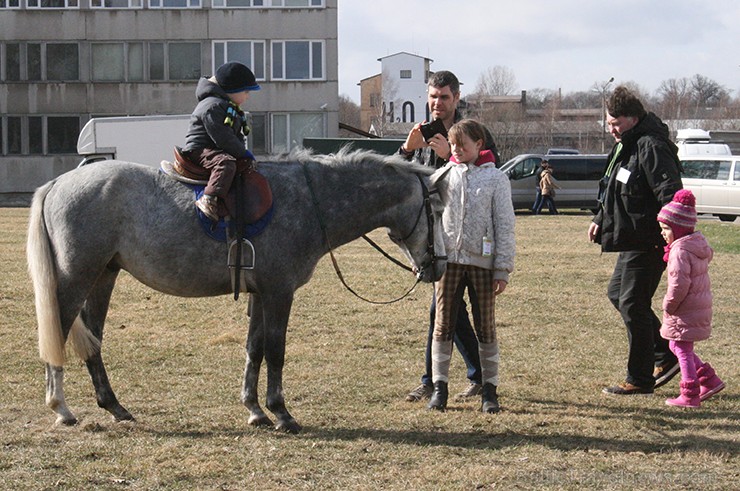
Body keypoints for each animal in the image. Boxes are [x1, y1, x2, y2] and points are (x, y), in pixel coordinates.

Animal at [27, 148, 446, 432]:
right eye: (438, 212)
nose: (439, 266)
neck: (311, 201)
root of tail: (59, 183)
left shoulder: (260, 294)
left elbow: (254, 349)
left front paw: (255, 409)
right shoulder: (279, 292)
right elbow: (275, 351)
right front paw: (281, 412)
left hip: (104, 276)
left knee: (93, 340)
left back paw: (114, 406)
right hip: (76, 278)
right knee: (60, 331)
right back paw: (61, 408)